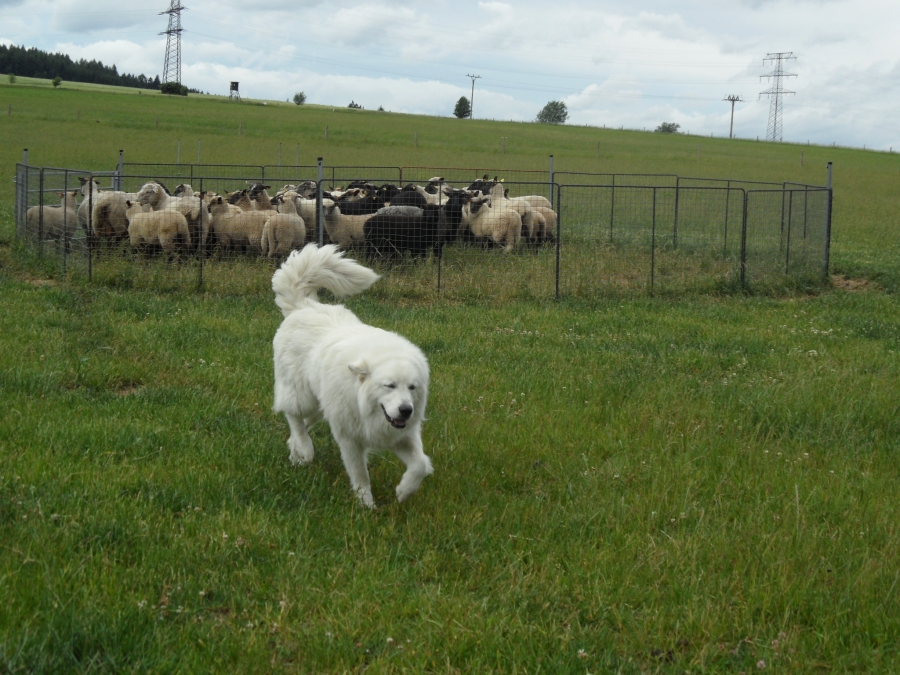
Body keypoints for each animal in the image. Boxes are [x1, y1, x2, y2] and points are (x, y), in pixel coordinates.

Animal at [271, 244, 433, 507]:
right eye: (389, 385)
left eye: (412, 387)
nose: (406, 410)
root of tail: (304, 305)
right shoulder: (350, 439)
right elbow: (360, 475)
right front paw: (366, 506)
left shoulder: (401, 435)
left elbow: (421, 464)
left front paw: (404, 491)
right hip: (303, 395)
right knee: (294, 417)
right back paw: (305, 450)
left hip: (322, 404)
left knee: (303, 422)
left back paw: (295, 450)